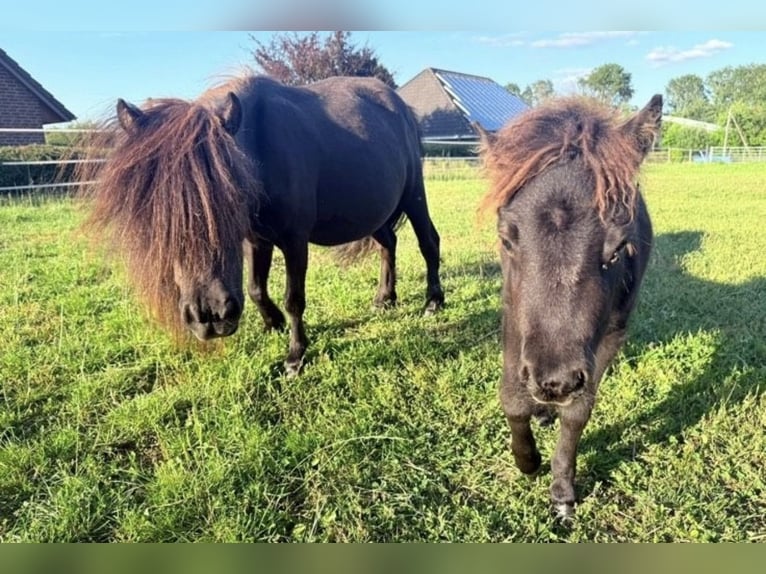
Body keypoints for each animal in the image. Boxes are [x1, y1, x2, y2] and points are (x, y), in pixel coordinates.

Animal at [79, 74, 445, 375]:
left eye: (230, 202)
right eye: (156, 220)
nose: (210, 317)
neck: (262, 146)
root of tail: (399, 105)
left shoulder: (295, 241)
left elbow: (293, 298)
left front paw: (295, 356)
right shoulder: (257, 240)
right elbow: (256, 289)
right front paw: (273, 323)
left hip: (414, 195)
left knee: (428, 242)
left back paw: (433, 302)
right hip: (375, 210)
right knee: (388, 243)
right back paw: (385, 298)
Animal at [478, 94, 662, 519]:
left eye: (618, 247)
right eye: (506, 238)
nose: (555, 382)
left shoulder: (609, 336)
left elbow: (578, 412)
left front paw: (561, 490)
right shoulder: (514, 321)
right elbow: (512, 397)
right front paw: (527, 461)